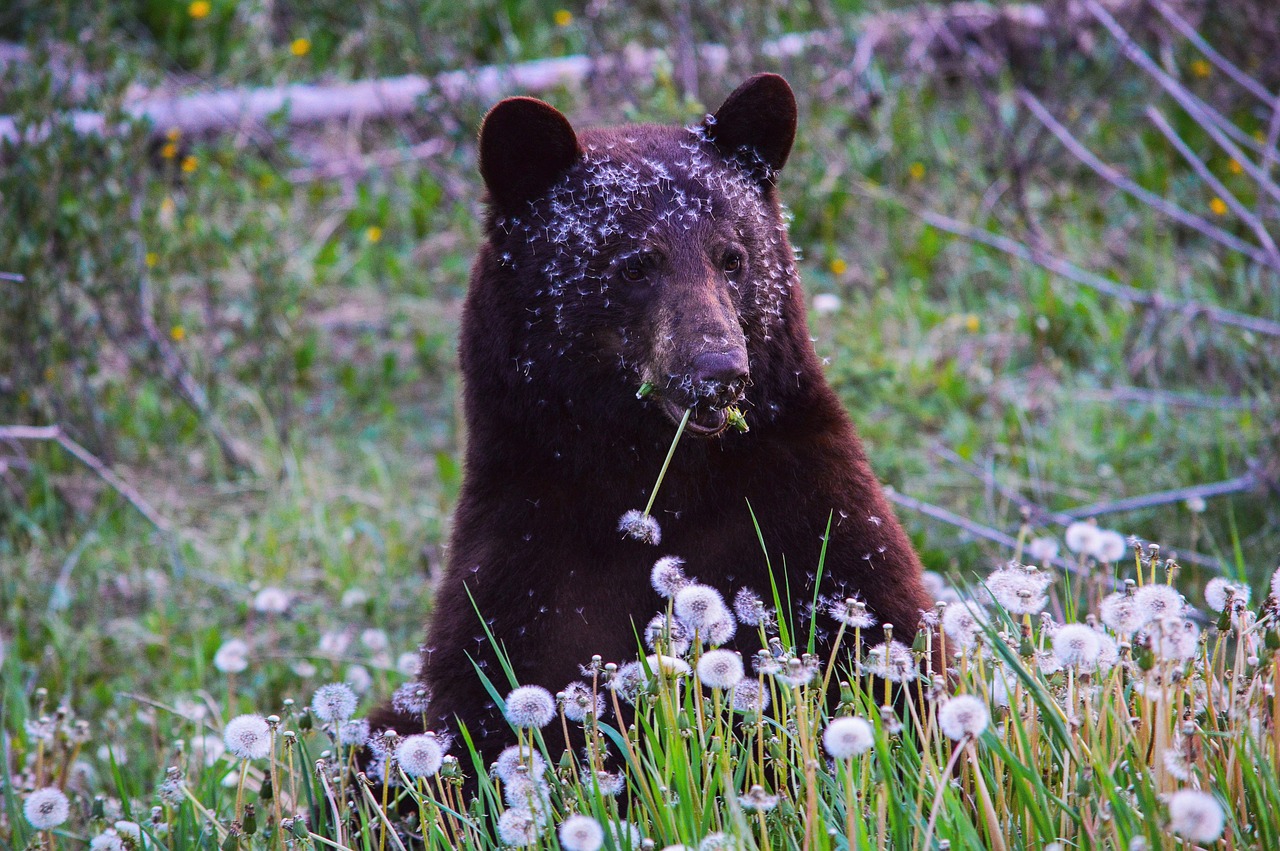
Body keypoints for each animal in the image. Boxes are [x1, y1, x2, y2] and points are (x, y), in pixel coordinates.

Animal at [373, 72, 936, 778]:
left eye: (733, 257)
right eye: (636, 264)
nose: (718, 370)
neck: (658, 476)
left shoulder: (813, 512)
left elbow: (893, 650)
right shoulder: (523, 558)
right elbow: (490, 712)